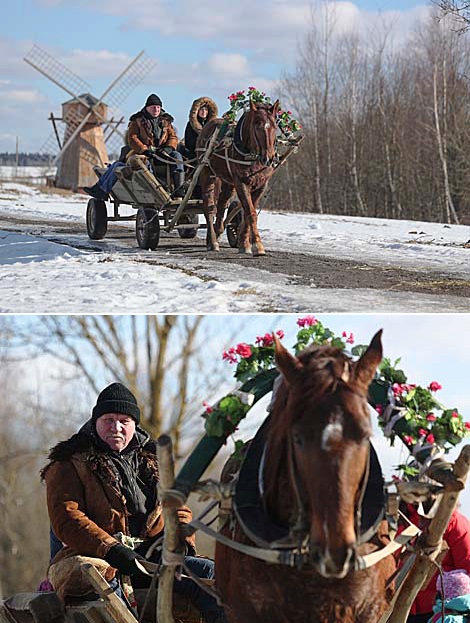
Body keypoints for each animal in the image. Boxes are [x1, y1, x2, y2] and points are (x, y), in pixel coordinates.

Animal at [196, 98, 280, 255]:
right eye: (257, 125)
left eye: (274, 125)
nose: (269, 158)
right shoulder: (241, 182)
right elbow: (250, 212)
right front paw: (257, 245)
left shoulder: (261, 185)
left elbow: (247, 212)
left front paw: (244, 243)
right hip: (206, 172)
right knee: (209, 207)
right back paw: (213, 242)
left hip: (228, 182)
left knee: (222, 204)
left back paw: (216, 232)